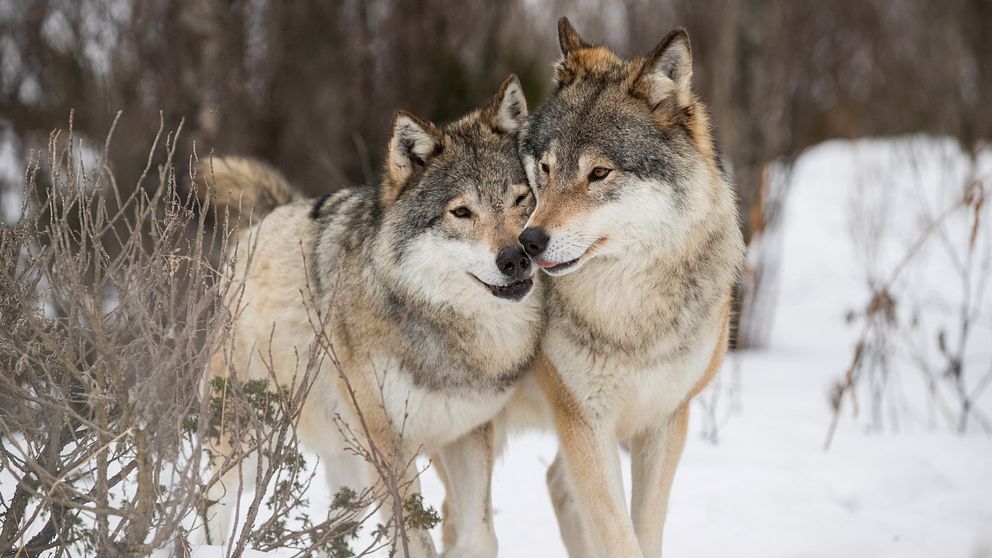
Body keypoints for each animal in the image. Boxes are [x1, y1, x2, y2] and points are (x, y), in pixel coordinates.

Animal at [199, 75, 548, 558]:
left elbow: (480, 536)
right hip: (248, 444)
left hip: (349, 471)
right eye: (461, 212)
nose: (516, 258)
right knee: (211, 504)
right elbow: (415, 541)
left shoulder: (467, 433)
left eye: (521, 199)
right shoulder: (388, 444)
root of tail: (264, 219)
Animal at [508, 18, 748, 558]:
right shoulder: (584, 423)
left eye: (599, 173)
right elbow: (619, 536)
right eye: (546, 168)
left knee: (556, 484)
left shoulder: (665, 421)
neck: (628, 315)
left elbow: (644, 530)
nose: (529, 242)